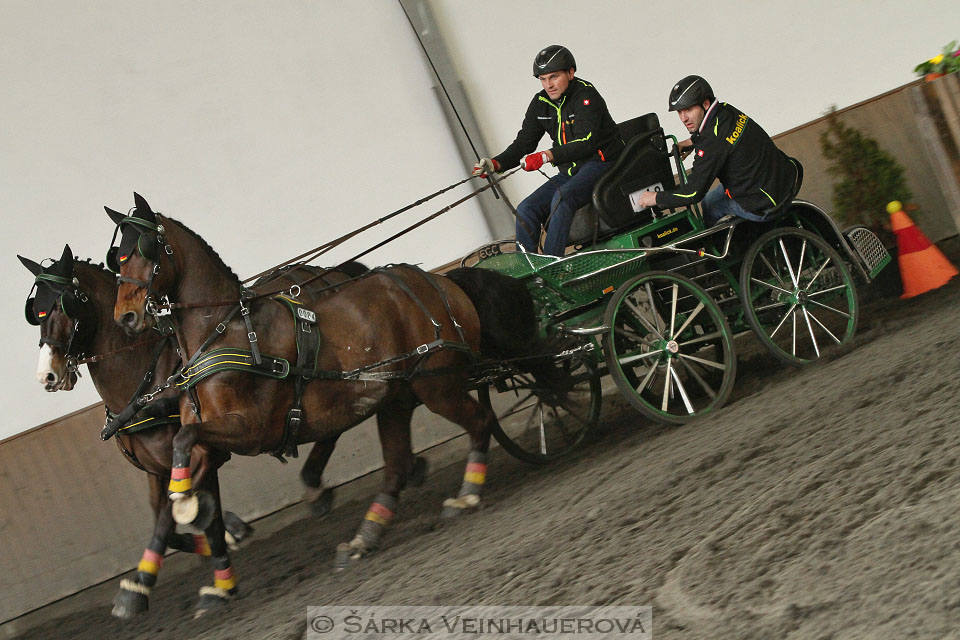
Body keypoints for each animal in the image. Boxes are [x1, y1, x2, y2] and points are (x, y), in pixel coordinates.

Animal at [21, 245, 368, 620]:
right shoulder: (158, 470)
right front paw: (230, 539)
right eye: (35, 312)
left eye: (65, 303)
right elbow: (173, 521)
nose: (47, 376)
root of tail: (326, 271)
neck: (144, 376)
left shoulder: (204, 452)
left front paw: (148, 588)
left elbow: (184, 519)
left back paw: (317, 488)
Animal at [104, 194, 506, 616]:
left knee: (480, 421)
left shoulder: (249, 429)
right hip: (394, 398)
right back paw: (364, 536)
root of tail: (437, 281)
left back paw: (465, 495)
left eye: (146, 248)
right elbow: (174, 493)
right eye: (117, 258)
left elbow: (183, 451)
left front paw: (193, 509)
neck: (224, 333)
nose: (126, 317)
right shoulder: (207, 443)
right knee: (396, 465)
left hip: (437, 385)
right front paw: (152, 579)